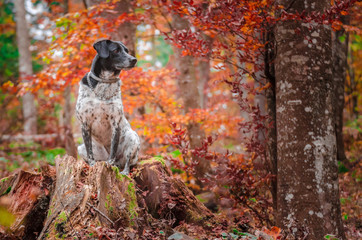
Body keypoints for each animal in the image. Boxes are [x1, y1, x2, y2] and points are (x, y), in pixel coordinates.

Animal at [75, 39, 140, 174]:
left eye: (127, 51)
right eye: (116, 50)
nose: (134, 59)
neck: (104, 83)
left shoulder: (115, 123)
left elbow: (113, 151)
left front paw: (110, 165)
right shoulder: (85, 124)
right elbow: (90, 153)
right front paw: (92, 166)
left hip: (133, 138)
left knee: (127, 163)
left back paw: (123, 171)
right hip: (80, 148)